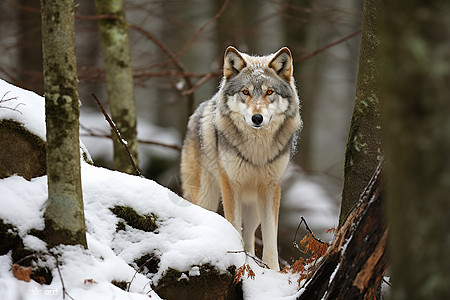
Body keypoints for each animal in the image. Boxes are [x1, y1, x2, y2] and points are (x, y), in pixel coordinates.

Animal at [180, 45, 302, 270]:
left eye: (269, 92)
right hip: (206, 195)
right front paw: (236, 260)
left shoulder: (271, 187)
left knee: (250, 235)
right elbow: (234, 226)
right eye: (245, 92)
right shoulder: (230, 183)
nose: (257, 118)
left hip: (253, 207)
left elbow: (270, 236)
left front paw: (273, 270)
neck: (257, 148)